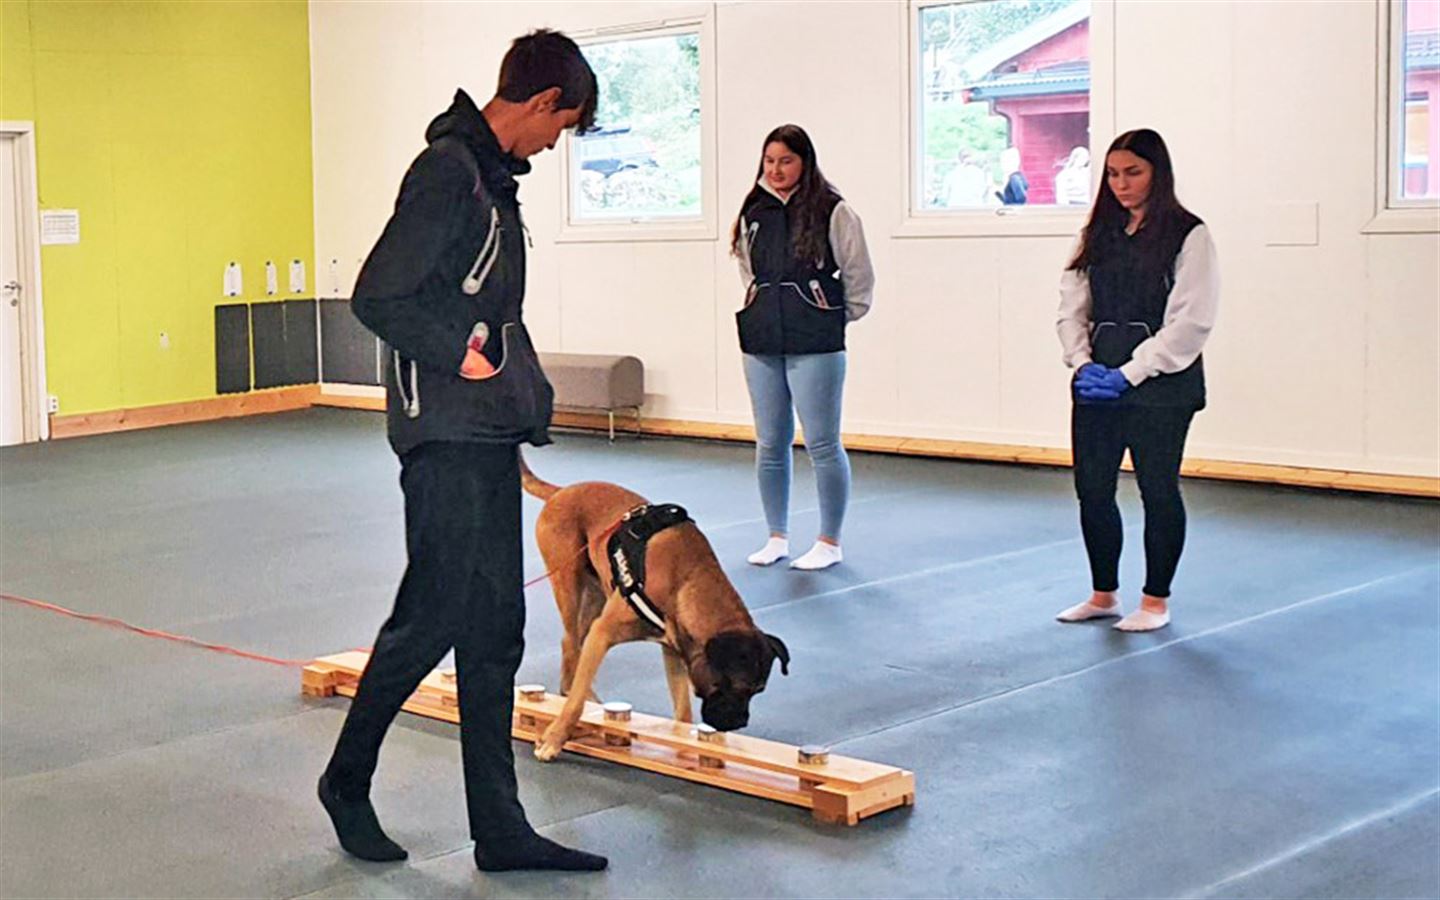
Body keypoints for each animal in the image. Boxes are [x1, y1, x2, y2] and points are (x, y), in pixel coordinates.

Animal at [521, 455, 789, 760]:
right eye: (737, 688)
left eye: (758, 690)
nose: (739, 722)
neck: (687, 581)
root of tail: (561, 492)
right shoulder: (603, 634)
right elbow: (575, 702)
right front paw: (556, 737)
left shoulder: (675, 651)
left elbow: (683, 710)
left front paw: (686, 753)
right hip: (568, 583)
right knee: (570, 645)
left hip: (595, 596)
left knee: (575, 646)